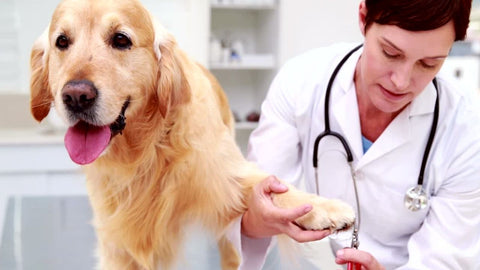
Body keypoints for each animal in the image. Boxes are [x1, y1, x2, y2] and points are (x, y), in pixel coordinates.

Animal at [28, 0, 354, 268]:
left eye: (121, 39)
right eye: (62, 41)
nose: (76, 96)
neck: (148, 148)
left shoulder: (223, 174)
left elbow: (275, 188)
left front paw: (327, 208)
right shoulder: (117, 240)